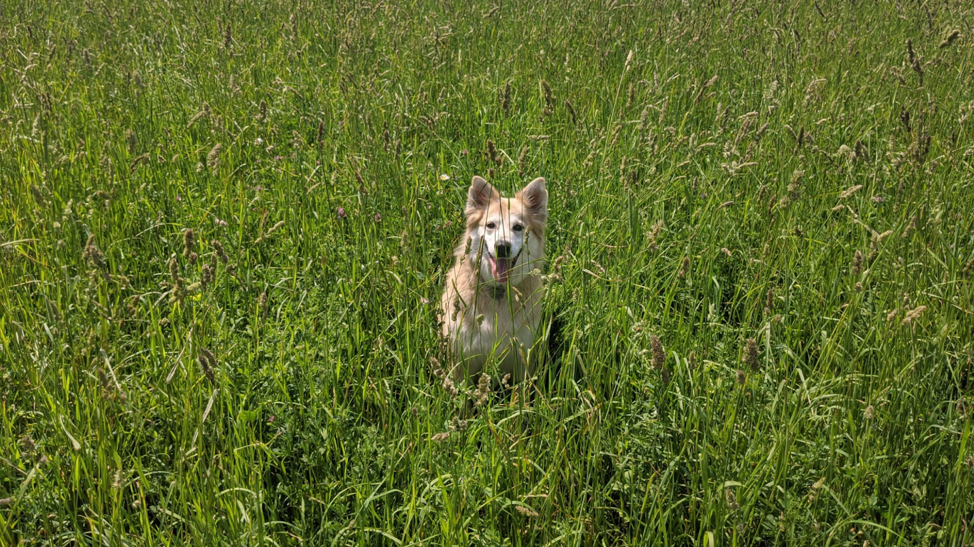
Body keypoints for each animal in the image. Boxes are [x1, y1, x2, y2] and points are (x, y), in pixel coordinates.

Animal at [442, 176, 548, 386]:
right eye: (491, 225)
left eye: (518, 227)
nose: (502, 246)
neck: (498, 291)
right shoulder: (462, 362)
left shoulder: (523, 360)